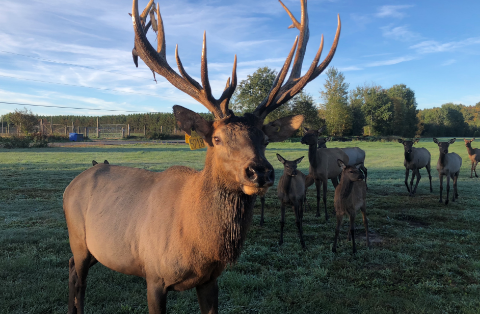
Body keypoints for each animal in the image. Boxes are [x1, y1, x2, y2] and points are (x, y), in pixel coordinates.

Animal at [63, 0, 342, 314]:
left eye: (266, 139)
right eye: (216, 139)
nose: (260, 172)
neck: (199, 245)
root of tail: (71, 185)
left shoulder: (210, 280)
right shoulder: (154, 275)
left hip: (96, 249)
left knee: (72, 268)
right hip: (78, 238)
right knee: (77, 275)